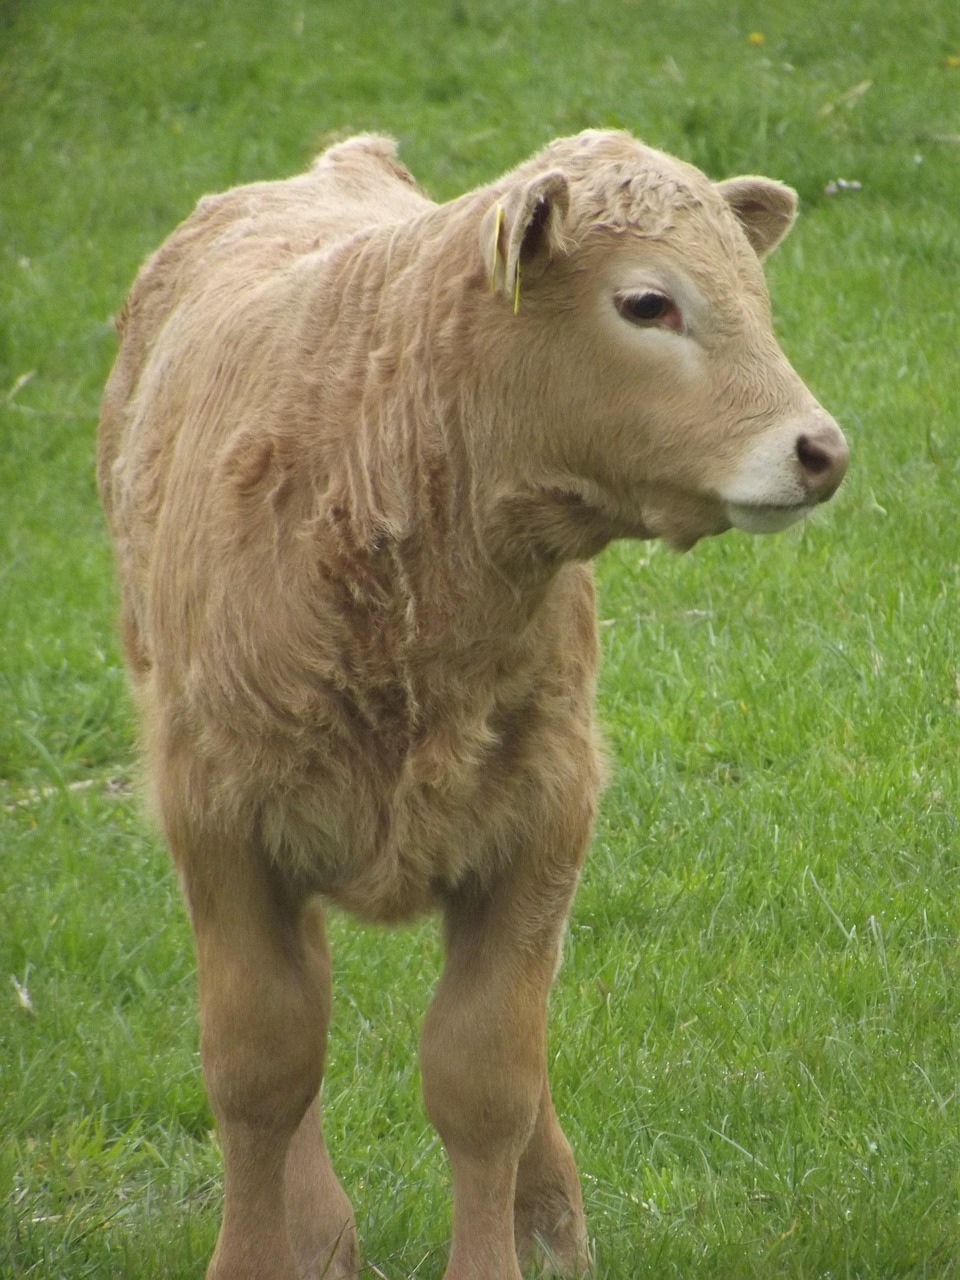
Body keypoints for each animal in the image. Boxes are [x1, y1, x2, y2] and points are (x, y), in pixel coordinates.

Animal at [97, 129, 848, 1280]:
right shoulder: (219, 823)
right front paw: (260, 1251)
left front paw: (516, 1238)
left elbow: (485, 1072)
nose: (821, 450)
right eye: (648, 303)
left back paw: (549, 1222)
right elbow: (260, 1066)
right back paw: (321, 1230)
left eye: (753, 295)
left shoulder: (544, 819)